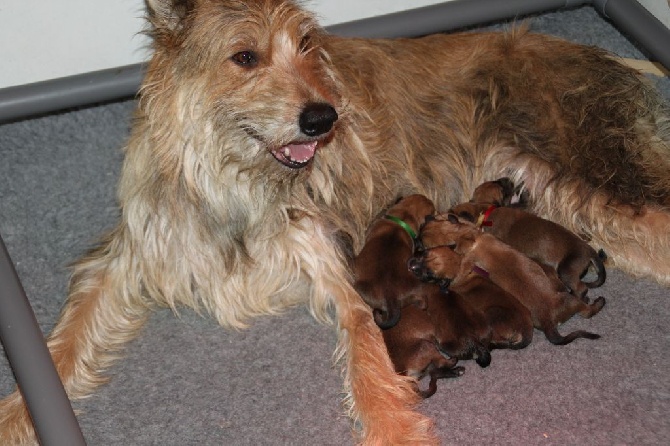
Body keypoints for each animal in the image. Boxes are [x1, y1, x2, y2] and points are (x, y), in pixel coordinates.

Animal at [414, 214, 608, 346]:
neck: (466, 237)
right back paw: (597, 301)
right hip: (570, 300)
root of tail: (548, 320)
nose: (415, 237)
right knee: (586, 309)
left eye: (423, 246)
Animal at [454, 179, 608, 298]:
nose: (509, 178)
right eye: (499, 184)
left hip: (566, 270)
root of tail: (590, 251)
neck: (489, 209)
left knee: (581, 289)